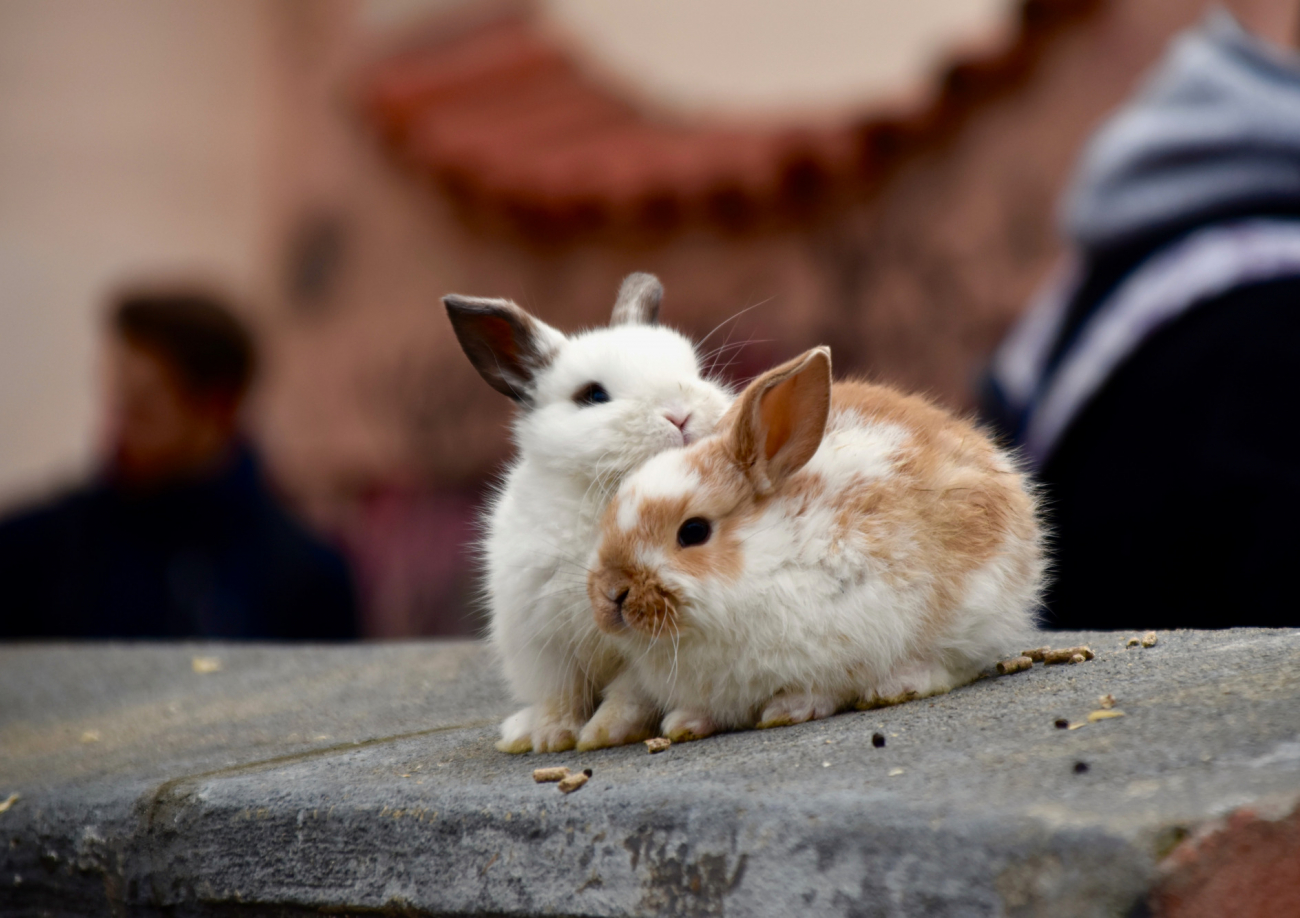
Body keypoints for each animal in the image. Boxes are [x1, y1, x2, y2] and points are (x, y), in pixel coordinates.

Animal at [444, 271, 733, 748]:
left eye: (695, 372)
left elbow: (629, 694)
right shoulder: (545, 645)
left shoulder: (641, 649)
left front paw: (604, 733)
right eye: (593, 396)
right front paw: (552, 738)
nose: (680, 415)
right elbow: (560, 696)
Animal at [585, 343, 1040, 743]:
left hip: (976, 607)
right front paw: (684, 723)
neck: (766, 560)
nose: (612, 593)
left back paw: (897, 686)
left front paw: (788, 710)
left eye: (693, 532)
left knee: (952, 663)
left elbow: (823, 686)